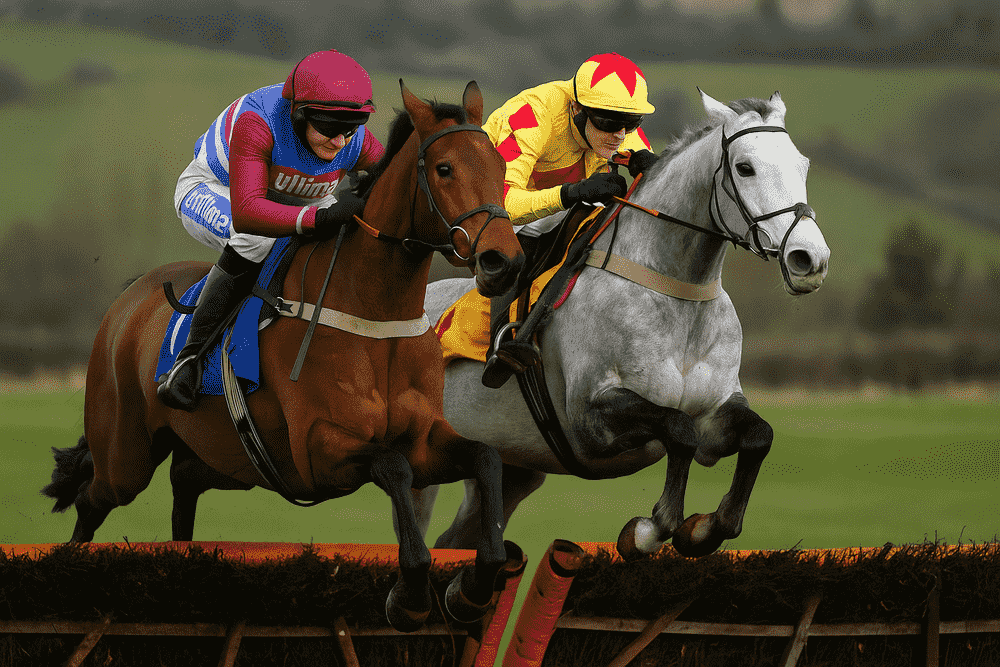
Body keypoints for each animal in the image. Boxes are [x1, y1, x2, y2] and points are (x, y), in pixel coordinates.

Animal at [42, 80, 525, 632]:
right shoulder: (319, 450)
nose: (503, 261)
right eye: (444, 169)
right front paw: (410, 596)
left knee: (182, 488)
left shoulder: (423, 440)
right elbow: (392, 468)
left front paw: (474, 588)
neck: (374, 313)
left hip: (220, 459)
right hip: (125, 456)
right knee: (90, 501)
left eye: (499, 166)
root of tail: (128, 298)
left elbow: (485, 457)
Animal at [415, 89, 830, 559]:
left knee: (454, 540)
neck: (676, 294)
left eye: (803, 164)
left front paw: (706, 526)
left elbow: (758, 435)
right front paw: (651, 529)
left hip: (509, 467)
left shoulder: (717, 410)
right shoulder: (590, 418)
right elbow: (679, 428)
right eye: (745, 167)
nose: (809, 258)